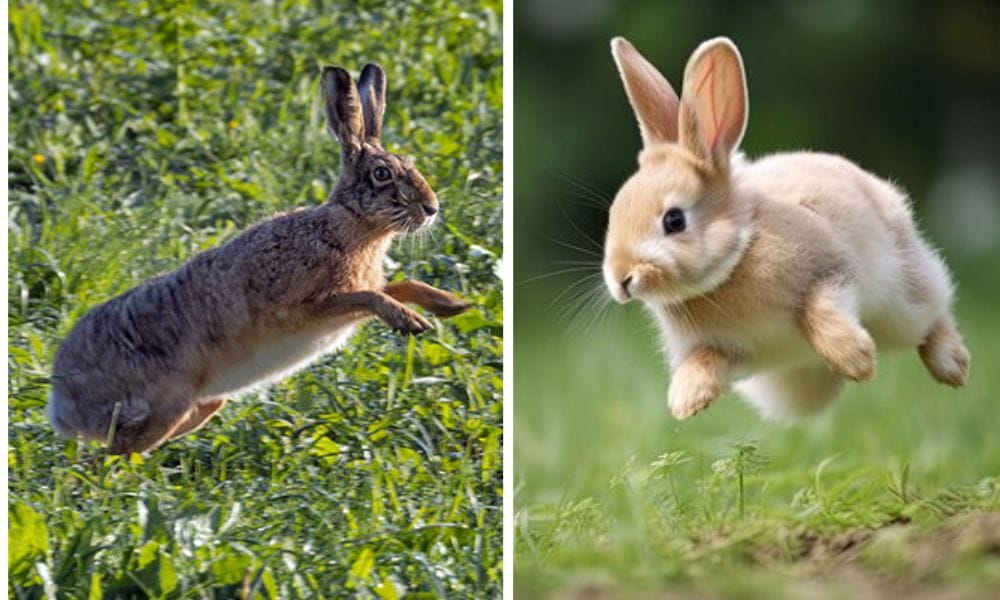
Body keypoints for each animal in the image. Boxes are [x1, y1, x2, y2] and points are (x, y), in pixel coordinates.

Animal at [48, 63, 471, 454]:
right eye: (382, 174)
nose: (431, 208)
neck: (350, 225)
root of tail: (62, 403)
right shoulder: (304, 308)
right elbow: (370, 297)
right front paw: (410, 322)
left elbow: (397, 287)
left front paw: (450, 305)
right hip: (166, 404)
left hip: (198, 407)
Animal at [603, 37, 969, 421]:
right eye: (614, 213)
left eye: (674, 220)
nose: (621, 279)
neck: (738, 257)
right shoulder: (731, 352)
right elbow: (703, 361)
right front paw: (686, 401)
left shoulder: (831, 272)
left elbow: (816, 311)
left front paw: (856, 360)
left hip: (902, 295)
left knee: (932, 313)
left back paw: (952, 366)